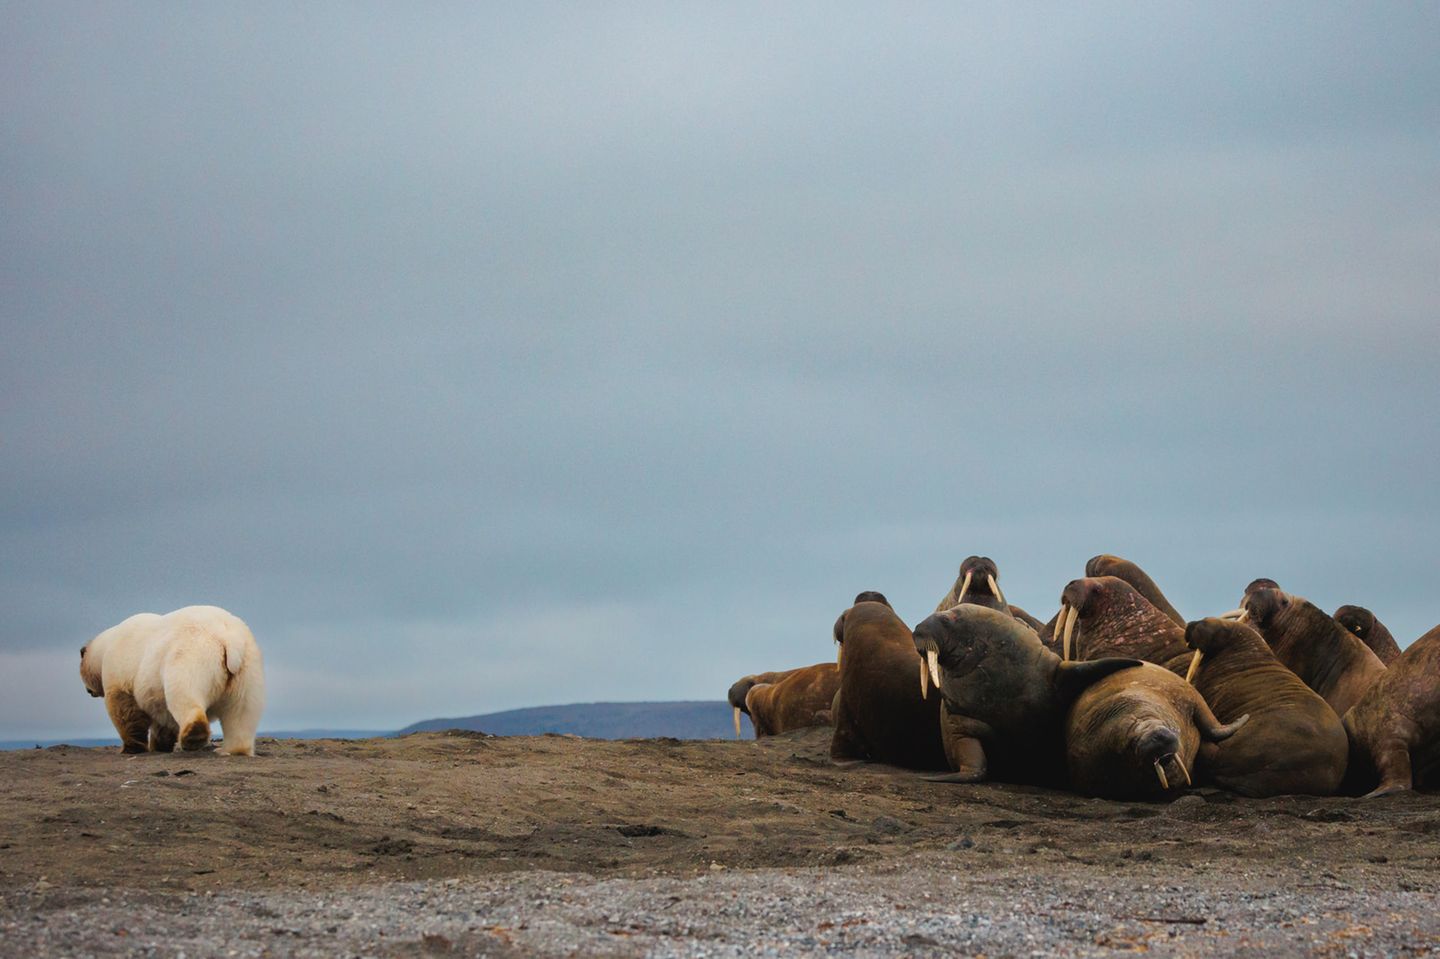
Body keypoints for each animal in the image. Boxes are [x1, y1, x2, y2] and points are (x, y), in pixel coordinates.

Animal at [79, 605, 265, 756]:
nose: (89, 691)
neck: (107, 645)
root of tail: (229, 640)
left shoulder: (121, 667)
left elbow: (125, 708)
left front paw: (131, 747)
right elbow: (164, 716)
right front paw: (160, 745)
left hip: (192, 656)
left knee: (184, 694)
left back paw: (193, 737)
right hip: (248, 668)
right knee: (242, 712)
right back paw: (230, 749)